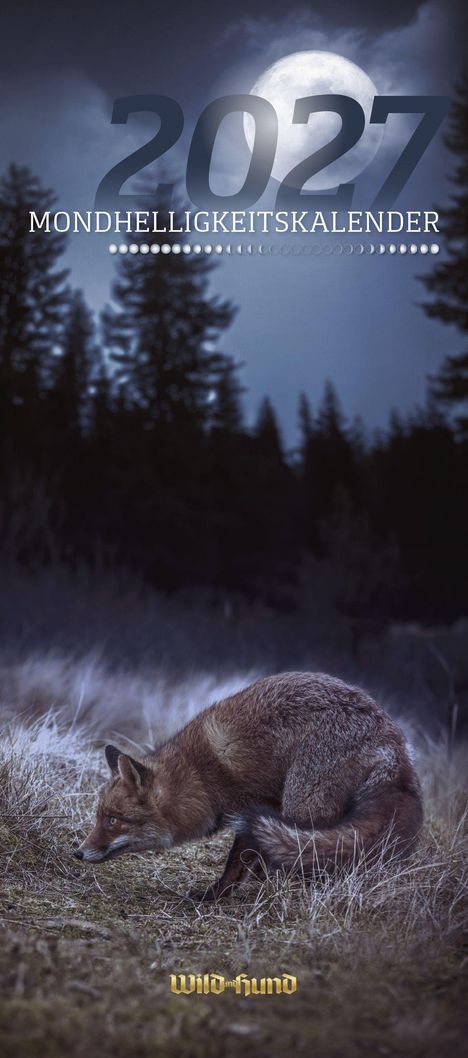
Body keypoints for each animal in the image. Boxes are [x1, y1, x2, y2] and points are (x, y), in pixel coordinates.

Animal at [74, 672, 423, 899]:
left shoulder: (256, 807)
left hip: (302, 803)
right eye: (99, 817)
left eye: (112, 820)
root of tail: (395, 743)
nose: (78, 852)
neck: (198, 776)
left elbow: (236, 862)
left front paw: (215, 895)